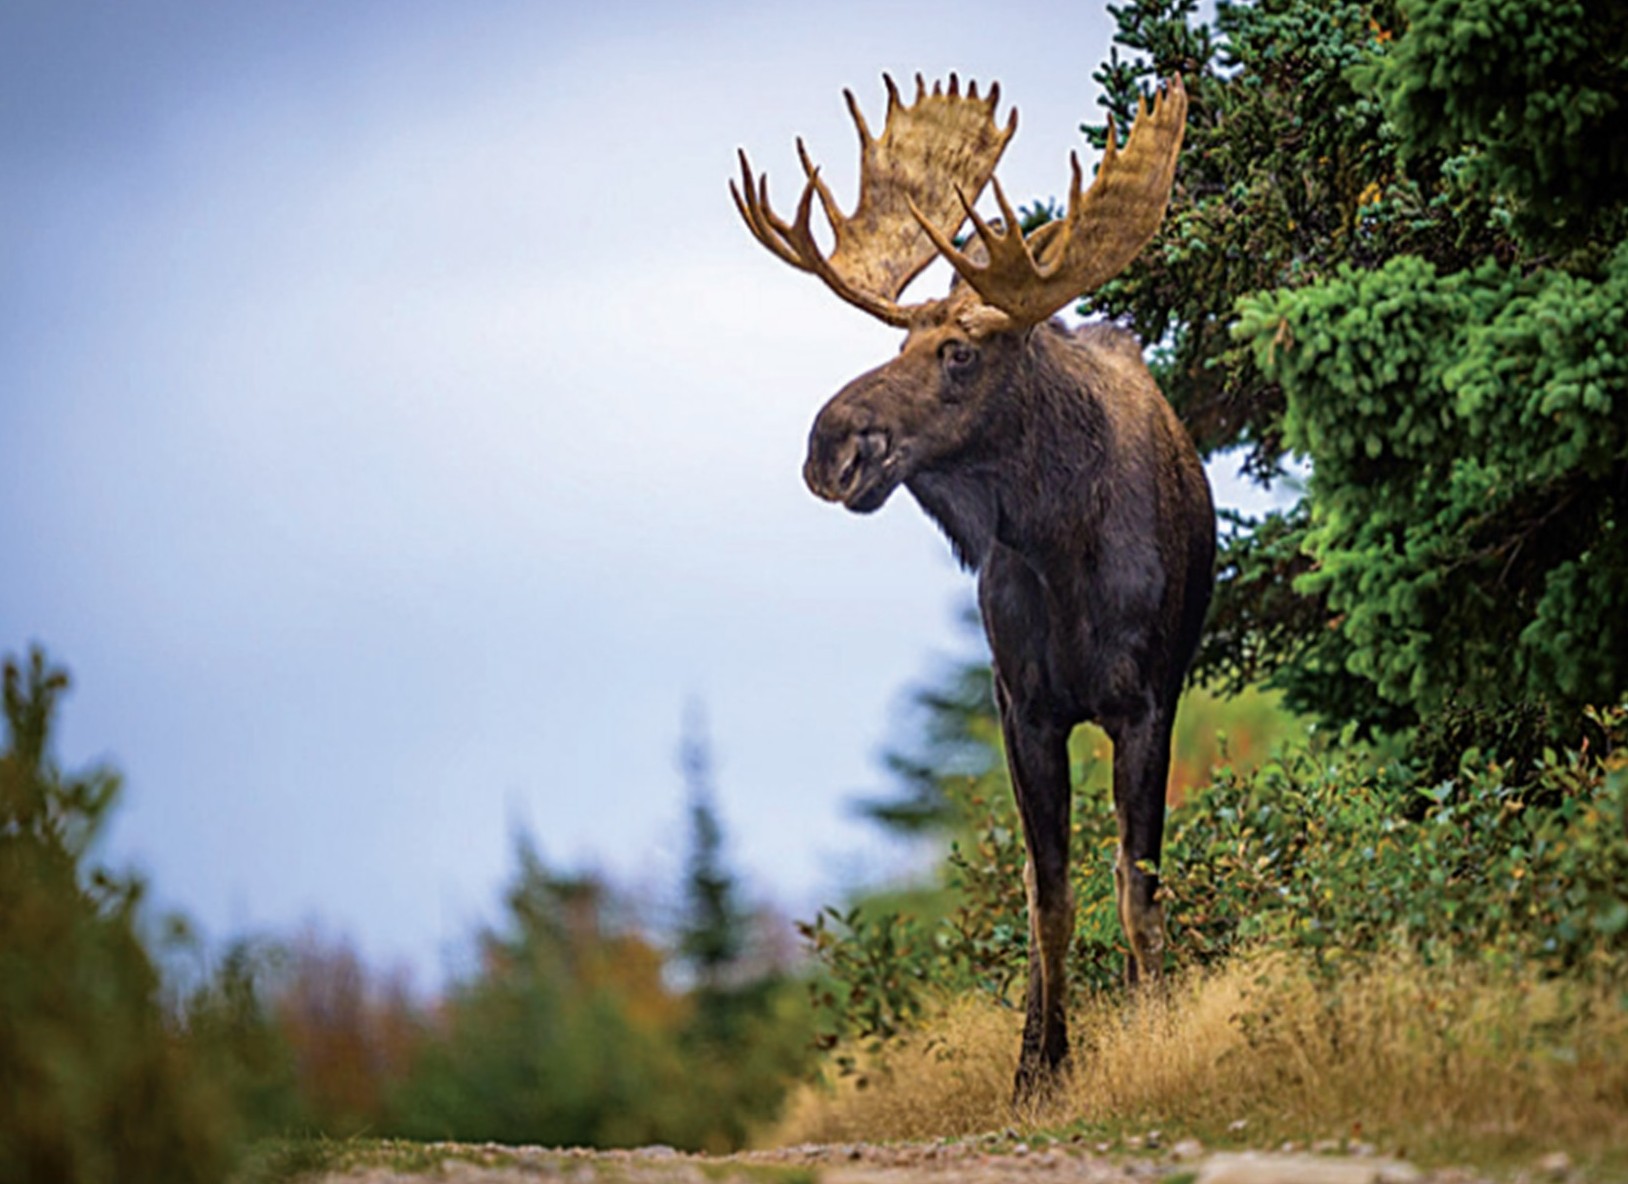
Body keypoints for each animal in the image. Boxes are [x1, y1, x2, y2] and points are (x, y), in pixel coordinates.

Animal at [732, 74, 1214, 1098]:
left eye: (959, 353)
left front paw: (1154, 1024)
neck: (1062, 550)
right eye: (896, 345)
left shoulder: (1148, 699)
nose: (828, 445)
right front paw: (1041, 1067)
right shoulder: (1020, 706)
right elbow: (1048, 897)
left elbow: (1137, 882)